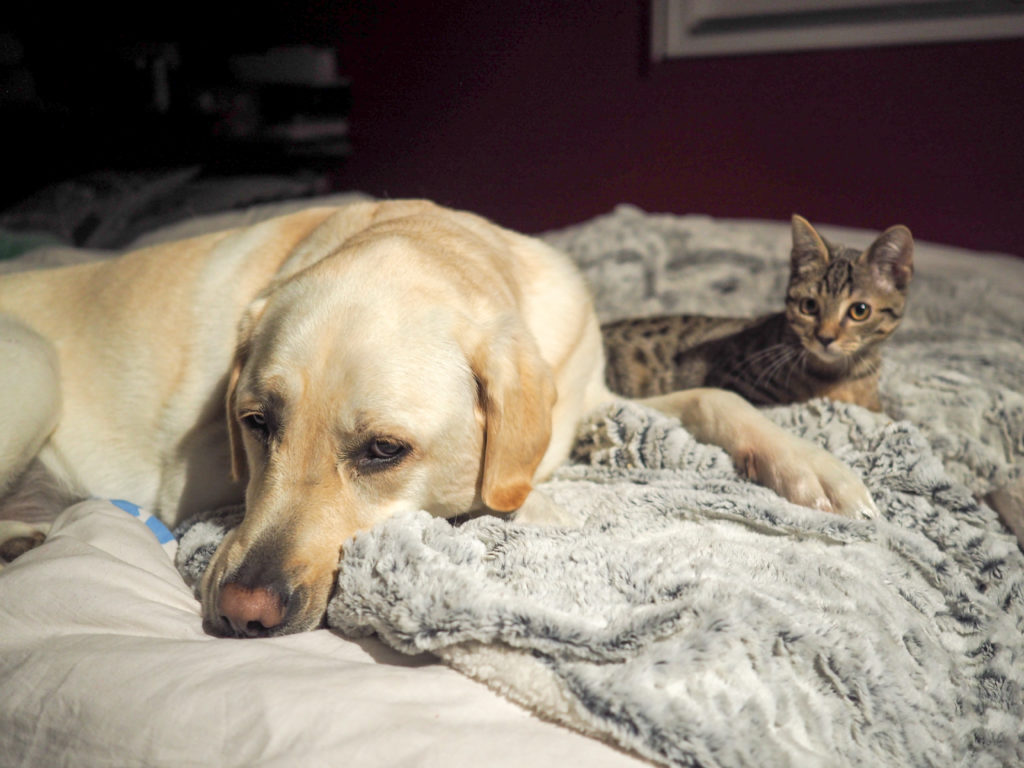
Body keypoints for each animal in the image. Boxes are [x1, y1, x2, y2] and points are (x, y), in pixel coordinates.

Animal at [2, 198, 872, 638]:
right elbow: (519, 500)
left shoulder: (590, 395)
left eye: (383, 449)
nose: (241, 613)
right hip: (33, 367)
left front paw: (814, 470)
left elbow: (715, 398)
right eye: (255, 422)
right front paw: (548, 506)